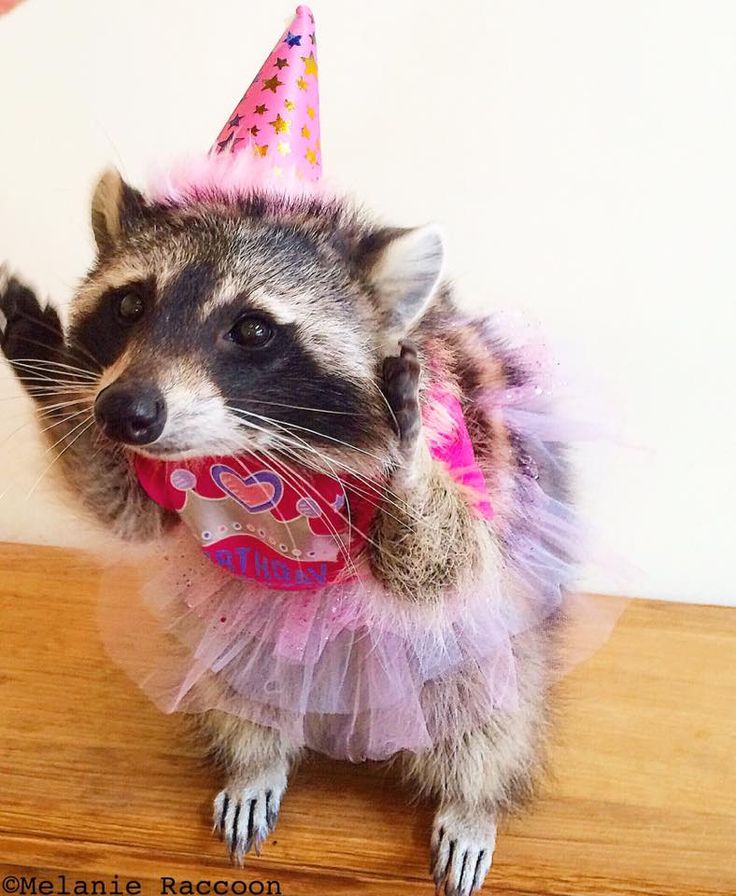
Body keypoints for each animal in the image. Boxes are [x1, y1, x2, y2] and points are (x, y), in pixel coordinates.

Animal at [0, 170, 568, 896]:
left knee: (486, 704)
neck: (258, 453)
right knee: (241, 678)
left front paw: (408, 461)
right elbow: (124, 511)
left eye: (251, 329)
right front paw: (51, 378)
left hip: (498, 644)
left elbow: (449, 566)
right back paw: (255, 758)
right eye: (130, 304)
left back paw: (473, 798)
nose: (123, 412)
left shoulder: (470, 442)